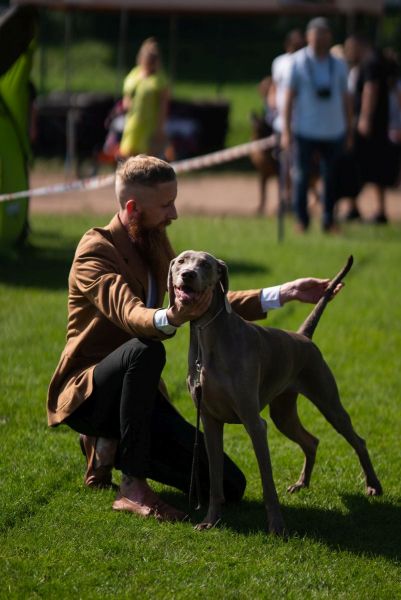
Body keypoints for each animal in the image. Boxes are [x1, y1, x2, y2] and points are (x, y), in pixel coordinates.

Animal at [168, 250, 382, 535]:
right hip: (283, 412)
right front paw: (210, 521)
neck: (209, 338)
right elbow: (214, 480)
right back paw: (302, 483)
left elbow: (267, 483)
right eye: (181, 261)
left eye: (205, 264)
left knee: (358, 440)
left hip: (327, 400)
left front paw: (277, 527)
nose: (187, 275)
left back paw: (373, 485)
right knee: (311, 441)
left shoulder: (254, 423)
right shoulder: (209, 421)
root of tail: (303, 337)